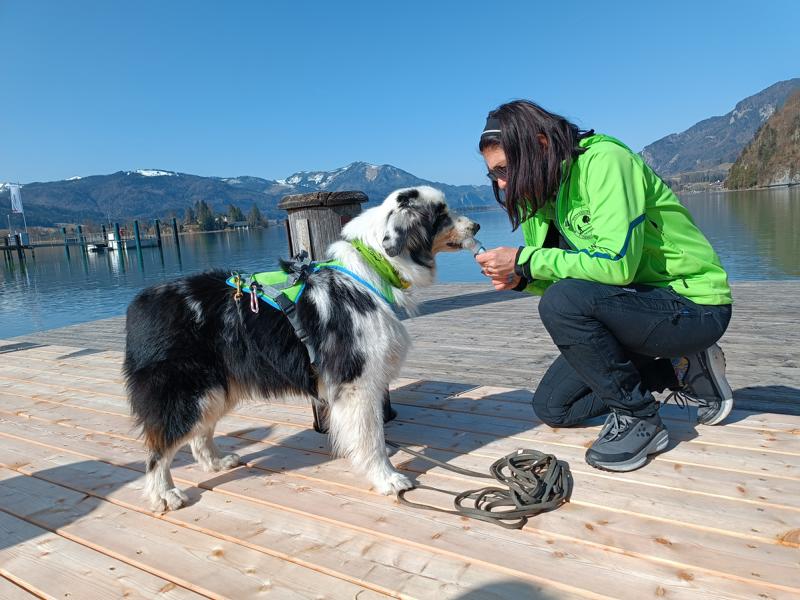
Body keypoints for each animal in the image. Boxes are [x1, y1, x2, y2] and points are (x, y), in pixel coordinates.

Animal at [123, 186, 480, 511]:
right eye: (440, 214)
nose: (476, 226)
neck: (371, 268)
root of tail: (138, 303)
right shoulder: (357, 381)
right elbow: (371, 437)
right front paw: (387, 478)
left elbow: (364, 432)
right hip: (186, 393)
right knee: (158, 451)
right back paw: (164, 494)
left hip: (217, 389)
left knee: (199, 435)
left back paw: (216, 463)